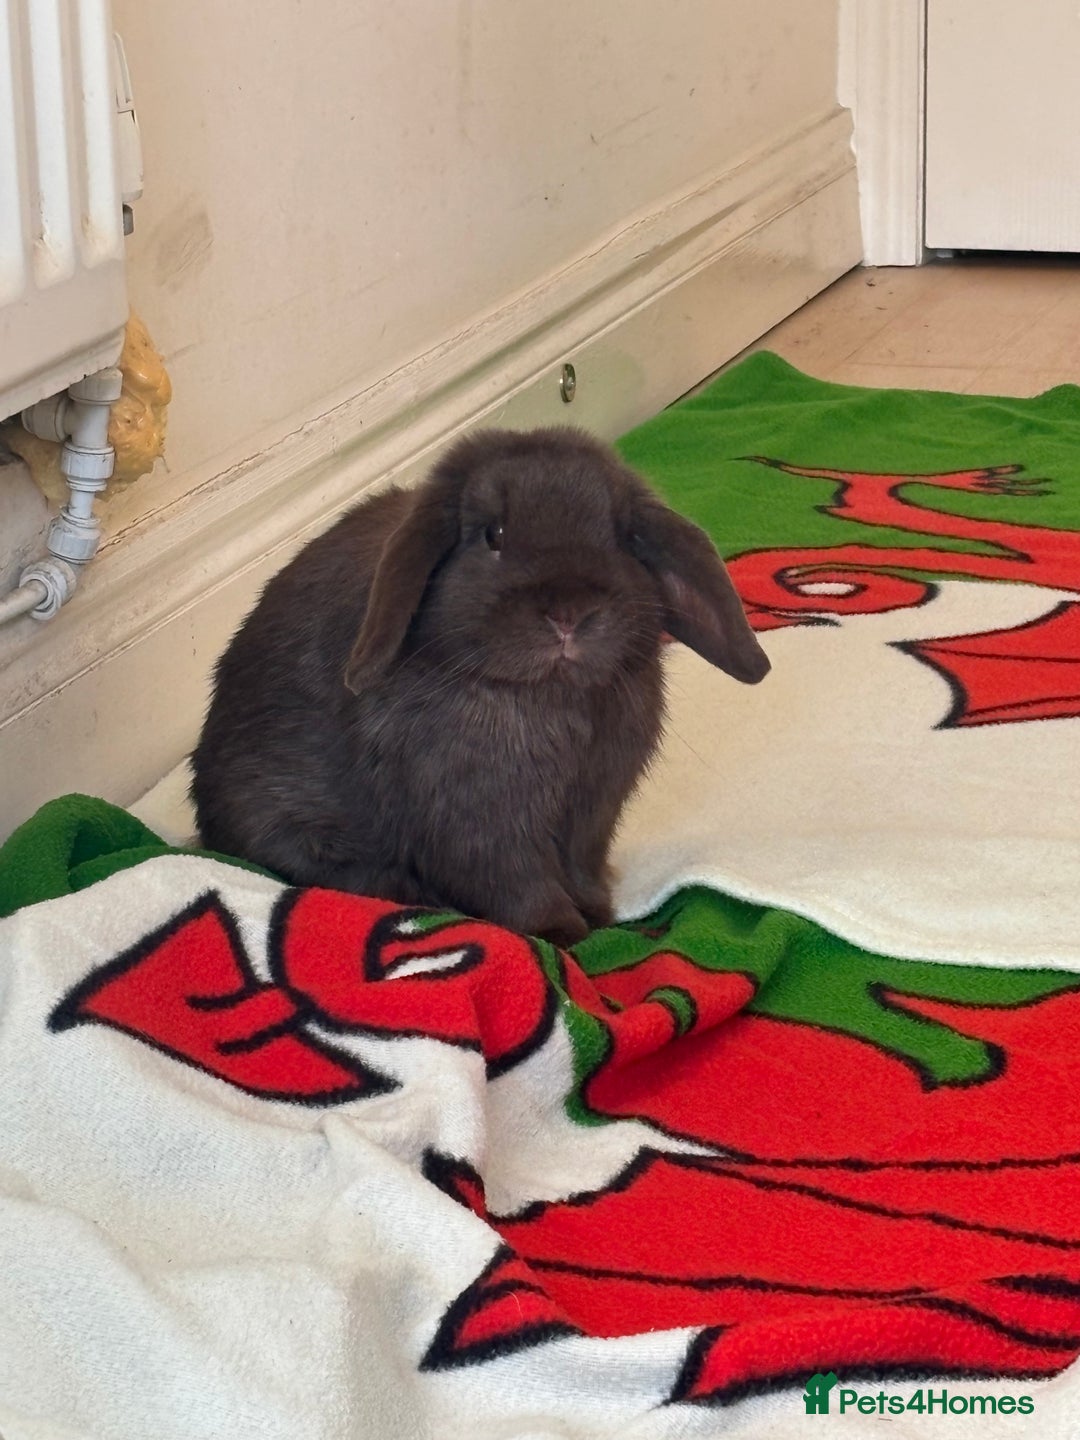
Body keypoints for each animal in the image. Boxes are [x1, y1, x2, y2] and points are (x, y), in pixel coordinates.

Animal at [190, 426, 769, 946]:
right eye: (493, 535)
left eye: (620, 536)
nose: (569, 614)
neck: (548, 698)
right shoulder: (479, 831)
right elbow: (520, 887)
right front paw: (563, 935)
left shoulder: (591, 817)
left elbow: (580, 869)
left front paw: (600, 915)